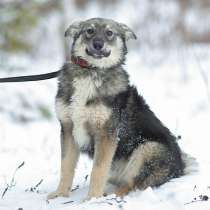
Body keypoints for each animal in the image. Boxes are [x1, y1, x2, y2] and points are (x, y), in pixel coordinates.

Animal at [47, 17, 185, 200]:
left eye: (109, 32)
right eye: (89, 31)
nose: (98, 44)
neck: (92, 72)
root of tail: (181, 168)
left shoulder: (106, 134)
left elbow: (98, 170)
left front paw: (92, 199)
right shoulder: (68, 129)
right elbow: (66, 167)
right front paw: (61, 194)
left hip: (147, 149)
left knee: (131, 185)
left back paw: (111, 195)